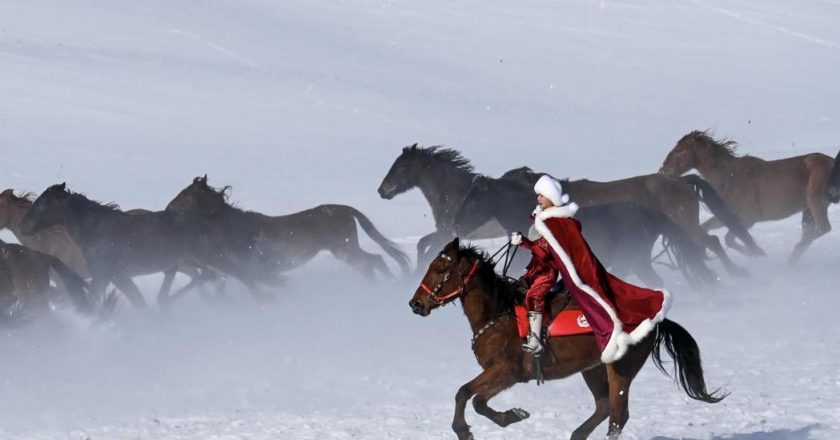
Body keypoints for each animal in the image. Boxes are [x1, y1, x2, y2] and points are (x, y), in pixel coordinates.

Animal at [19, 183, 214, 309]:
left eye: (43, 204)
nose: (23, 226)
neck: (97, 230)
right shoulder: (113, 277)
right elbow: (137, 301)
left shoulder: (107, 275)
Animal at [166, 176, 411, 288]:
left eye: (186, 195)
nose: (168, 209)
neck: (236, 229)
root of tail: (346, 209)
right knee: (373, 261)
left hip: (345, 249)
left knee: (373, 261)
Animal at [408, 238, 726, 440]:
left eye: (440, 269)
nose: (416, 304)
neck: (498, 312)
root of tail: (655, 321)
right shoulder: (499, 373)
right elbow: (473, 398)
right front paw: (509, 416)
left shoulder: (506, 371)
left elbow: (468, 396)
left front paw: (474, 426)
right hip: (593, 368)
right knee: (604, 407)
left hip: (620, 369)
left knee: (617, 417)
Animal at [660, 130, 837, 263]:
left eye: (680, 150)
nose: (663, 170)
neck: (729, 178)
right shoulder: (727, 215)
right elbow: (710, 229)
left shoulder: (748, 218)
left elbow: (731, 238)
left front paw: (759, 253)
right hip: (808, 209)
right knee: (810, 231)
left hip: (815, 201)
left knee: (822, 228)